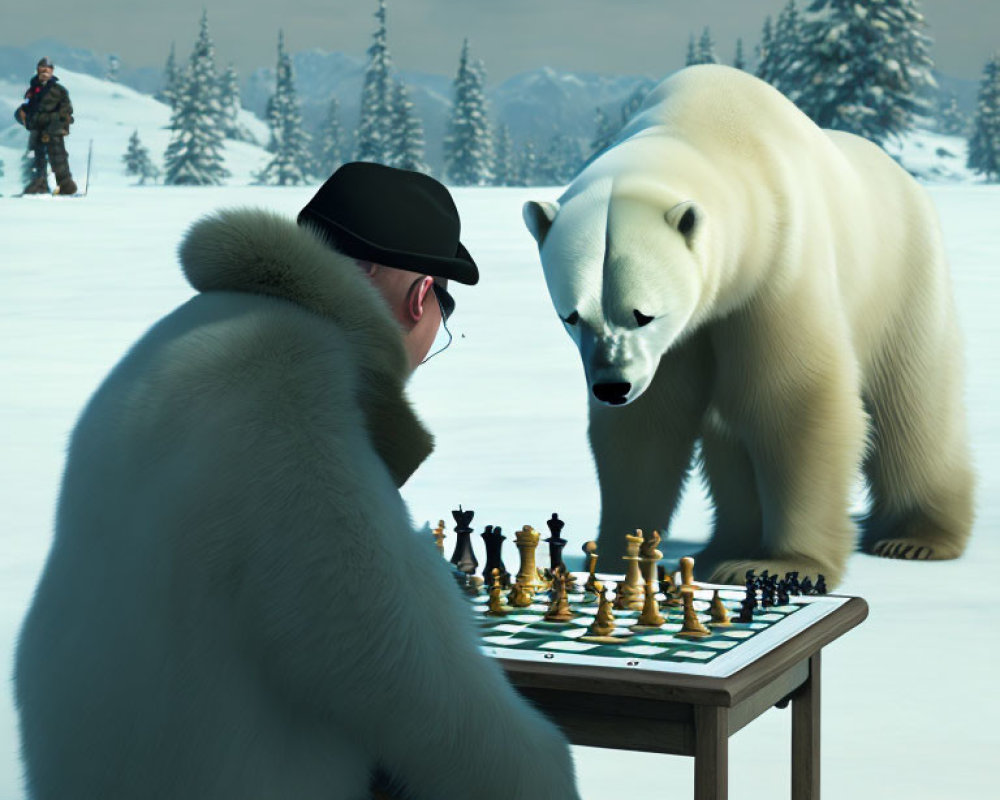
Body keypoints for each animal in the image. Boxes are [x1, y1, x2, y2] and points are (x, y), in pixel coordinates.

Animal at [524, 64, 976, 588]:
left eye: (644, 313)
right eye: (572, 315)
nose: (612, 387)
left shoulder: (778, 269)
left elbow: (793, 400)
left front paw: (784, 564)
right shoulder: (688, 333)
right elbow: (648, 422)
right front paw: (616, 553)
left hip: (900, 279)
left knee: (913, 407)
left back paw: (913, 538)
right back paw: (726, 546)